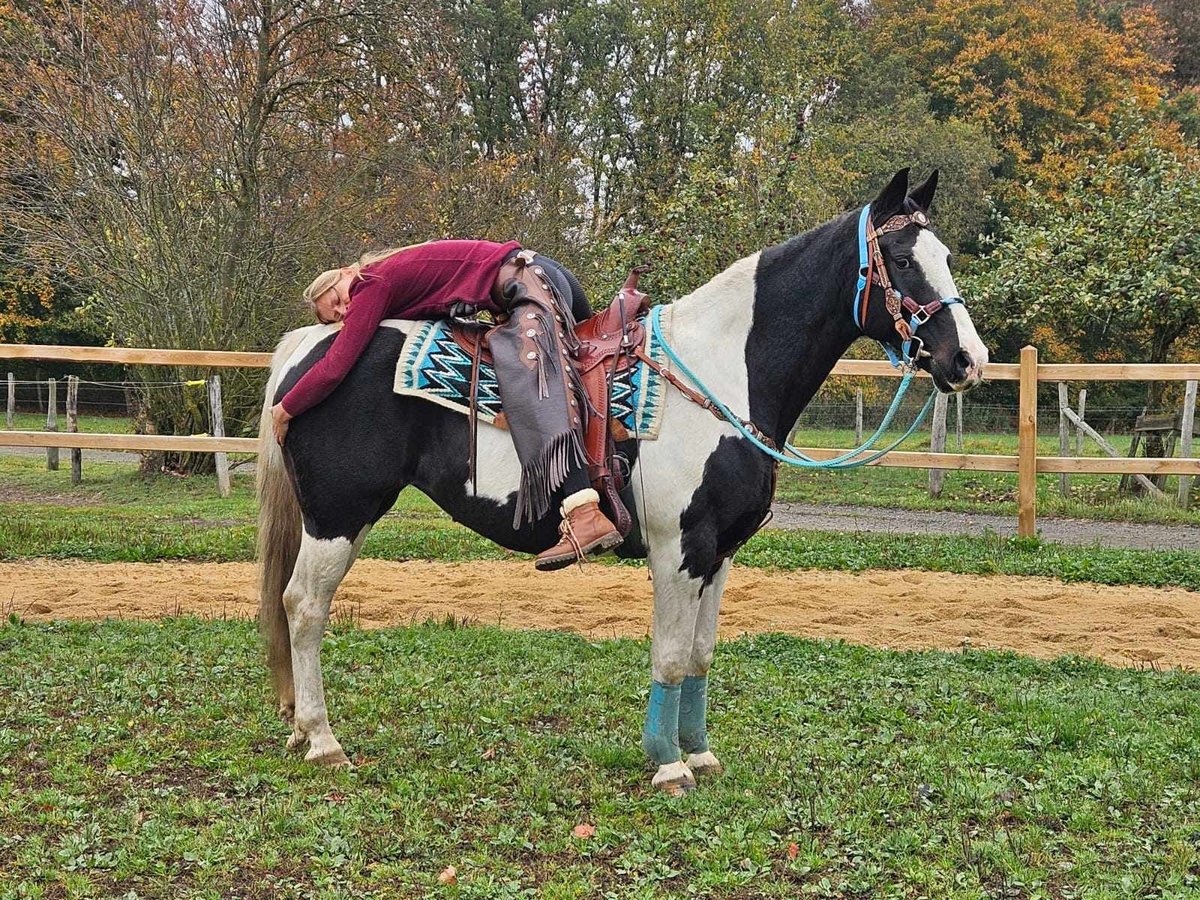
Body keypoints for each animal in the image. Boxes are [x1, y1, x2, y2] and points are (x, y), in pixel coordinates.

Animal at [258, 169, 988, 796]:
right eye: (901, 259)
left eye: (945, 254)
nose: (968, 359)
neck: (720, 373)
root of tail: (309, 348)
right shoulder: (677, 549)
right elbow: (668, 656)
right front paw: (667, 764)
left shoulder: (720, 553)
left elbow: (700, 655)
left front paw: (700, 752)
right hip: (339, 516)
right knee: (304, 606)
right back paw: (322, 740)